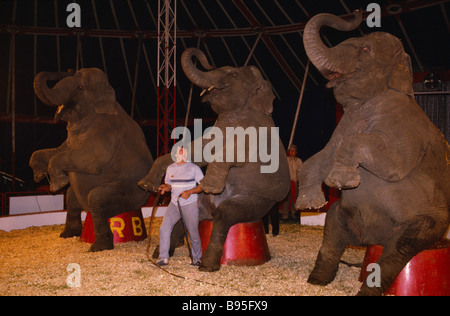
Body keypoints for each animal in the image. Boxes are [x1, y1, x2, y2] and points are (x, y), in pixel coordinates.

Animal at [30, 67, 153, 252]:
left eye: (81, 87)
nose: (66, 70)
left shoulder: (105, 135)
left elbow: (90, 161)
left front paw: (56, 184)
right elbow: (57, 151)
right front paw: (38, 175)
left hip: (131, 194)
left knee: (97, 198)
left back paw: (98, 248)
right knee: (71, 197)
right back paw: (67, 234)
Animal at [139, 48, 290, 272]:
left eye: (234, 75)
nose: (206, 61)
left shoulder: (257, 131)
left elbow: (235, 153)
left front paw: (209, 185)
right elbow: (201, 148)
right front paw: (146, 185)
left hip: (260, 201)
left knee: (226, 214)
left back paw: (207, 265)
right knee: (192, 215)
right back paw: (162, 253)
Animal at [296, 11, 450, 296]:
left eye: (366, 49)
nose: (358, 14)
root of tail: (371, 240)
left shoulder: (404, 127)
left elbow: (391, 163)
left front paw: (340, 181)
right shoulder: (343, 124)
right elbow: (320, 156)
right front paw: (309, 204)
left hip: (428, 221)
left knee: (398, 249)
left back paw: (367, 290)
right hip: (345, 217)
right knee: (332, 228)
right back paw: (317, 281)